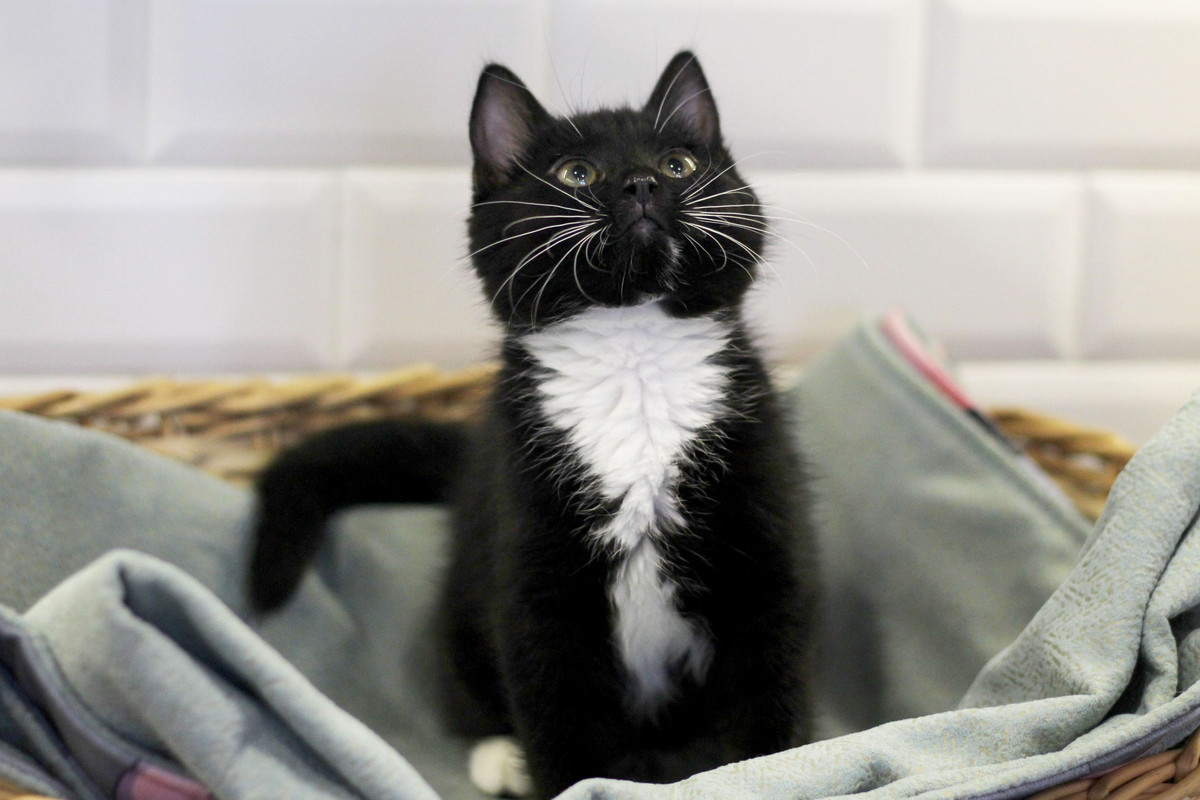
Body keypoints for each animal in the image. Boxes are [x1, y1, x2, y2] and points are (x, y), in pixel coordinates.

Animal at [249, 51, 818, 799]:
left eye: (678, 165)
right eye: (576, 173)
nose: (641, 182)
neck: (635, 357)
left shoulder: (766, 549)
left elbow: (770, 696)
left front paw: (775, 771)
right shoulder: (531, 571)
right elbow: (556, 714)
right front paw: (564, 777)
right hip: (463, 586)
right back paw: (498, 754)